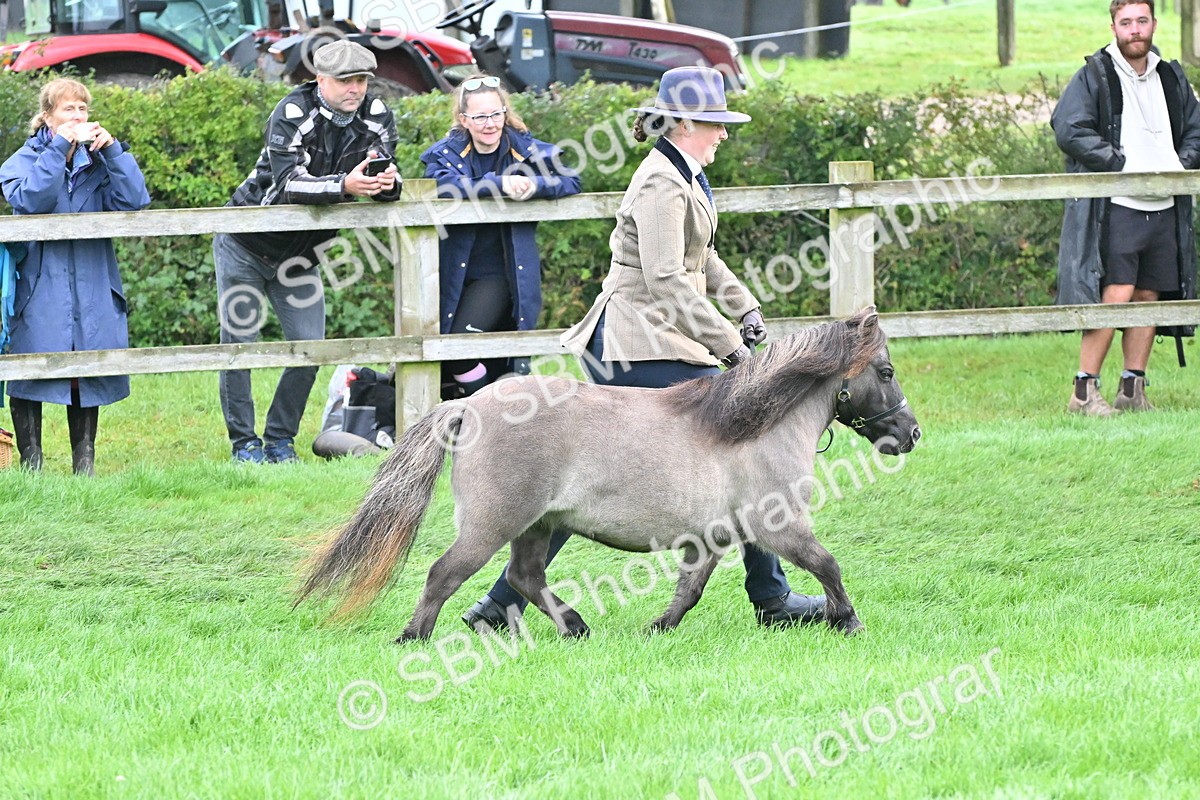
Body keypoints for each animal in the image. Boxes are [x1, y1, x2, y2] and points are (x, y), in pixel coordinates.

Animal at [296, 307, 921, 641]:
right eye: (887, 371)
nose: (911, 434)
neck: (751, 427)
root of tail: (469, 406)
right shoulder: (780, 525)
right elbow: (827, 564)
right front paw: (847, 621)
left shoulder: (712, 538)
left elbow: (689, 590)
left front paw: (658, 628)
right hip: (494, 524)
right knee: (444, 574)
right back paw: (413, 638)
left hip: (537, 525)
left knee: (524, 577)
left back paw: (573, 627)